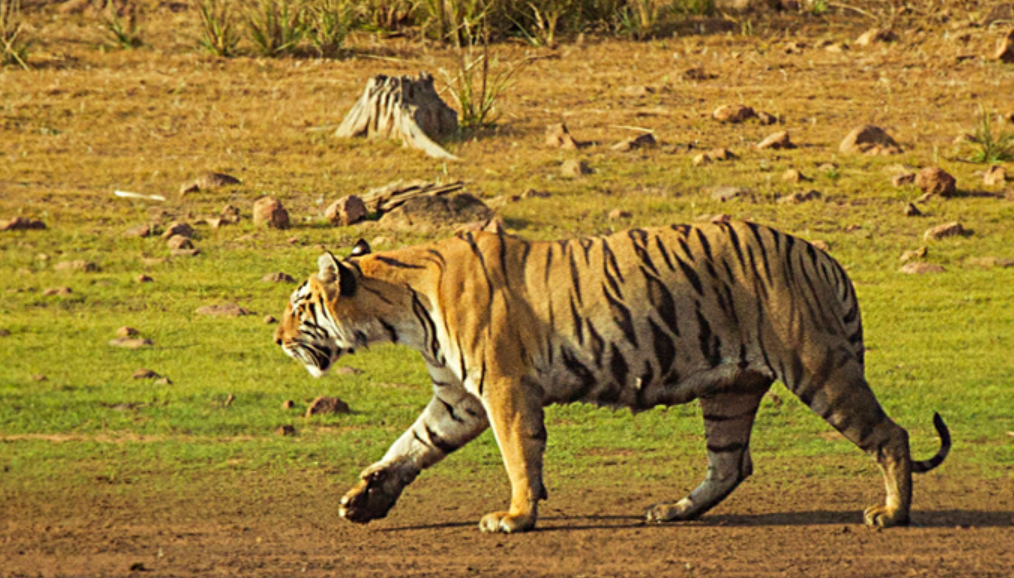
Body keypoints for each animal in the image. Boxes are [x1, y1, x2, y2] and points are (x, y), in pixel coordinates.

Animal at [271, 219, 949, 531]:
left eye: (301, 306)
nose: (276, 338)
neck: (403, 306)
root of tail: (822, 254)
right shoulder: (458, 397)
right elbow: (410, 445)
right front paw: (365, 498)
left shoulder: (503, 390)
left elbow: (518, 457)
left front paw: (515, 517)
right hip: (731, 389)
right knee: (731, 464)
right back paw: (673, 511)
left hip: (816, 366)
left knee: (891, 435)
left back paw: (891, 514)